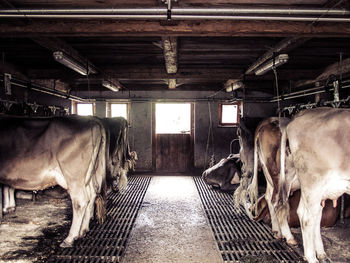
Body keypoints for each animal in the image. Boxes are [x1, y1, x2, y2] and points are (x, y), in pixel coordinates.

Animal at [0, 115, 106, 248]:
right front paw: (9, 207)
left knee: (80, 201)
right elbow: (7, 186)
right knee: (91, 195)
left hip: (73, 176)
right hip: (87, 175)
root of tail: (91, 119)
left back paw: (70, 238)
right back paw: (83, 230)